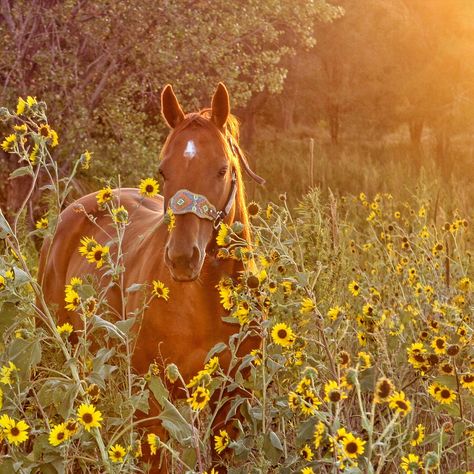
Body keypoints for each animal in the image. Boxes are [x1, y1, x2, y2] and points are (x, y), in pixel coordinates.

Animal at [38, 82, 262, 470]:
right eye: (163, 171)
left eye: (222, 169)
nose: (183, 258)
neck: (202, 301)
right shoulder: (153, 399)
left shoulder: (232, 398)